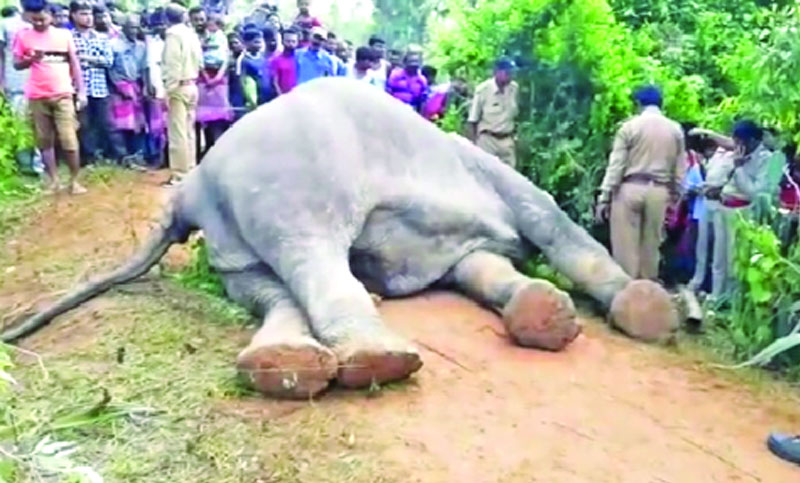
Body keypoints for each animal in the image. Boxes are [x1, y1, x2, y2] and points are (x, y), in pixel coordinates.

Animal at [3, 77, 680, 398]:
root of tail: (191, 184)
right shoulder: (492, 174)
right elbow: (547, 216)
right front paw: (647, 313)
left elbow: (480, 266)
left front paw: (544, 314)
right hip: (291, 186)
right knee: (314, 258)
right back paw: (381, 360)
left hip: (230, 241)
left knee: (268, 286)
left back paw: (284, 369)